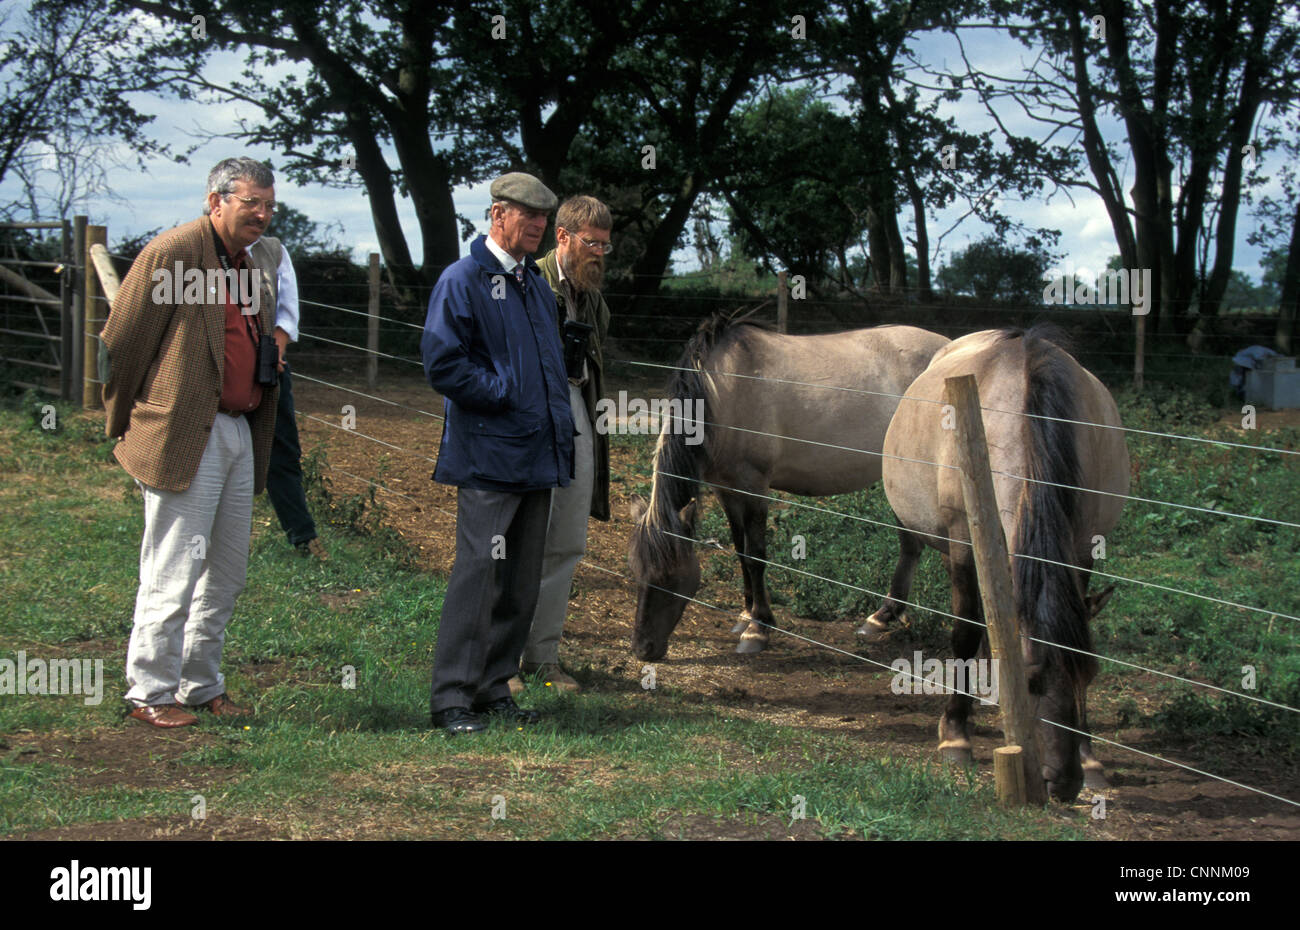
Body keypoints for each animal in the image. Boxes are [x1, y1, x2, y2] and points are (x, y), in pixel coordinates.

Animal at [627, 312, 949, 661]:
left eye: (668, 577)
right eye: (637, 571)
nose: (643, 649)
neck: (721, 392)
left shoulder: (754, 486)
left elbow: (755, 555)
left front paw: (758, 628)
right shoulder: (726, 489)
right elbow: (739, 549)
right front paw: (746, 615)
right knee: (911, 545)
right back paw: (883, 616)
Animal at [879, 326, 1129, 802]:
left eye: (1090, 676)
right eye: (1031, 681)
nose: (1064, 783)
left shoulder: (1083, 546)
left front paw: (1090, 757)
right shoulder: (962, 540)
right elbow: (964, 631)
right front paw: (955, 734)